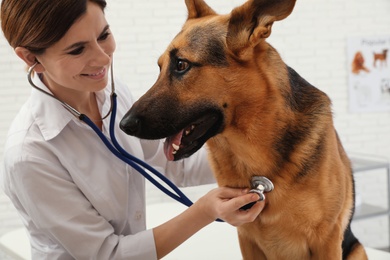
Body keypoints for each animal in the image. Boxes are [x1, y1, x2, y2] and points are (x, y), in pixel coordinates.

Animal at [122, 0, 368, 258]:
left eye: (181, 65)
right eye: (160, 67)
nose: (124, 124)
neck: (253, 153)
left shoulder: (327, 239)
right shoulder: (246, 237)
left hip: (357, 250)